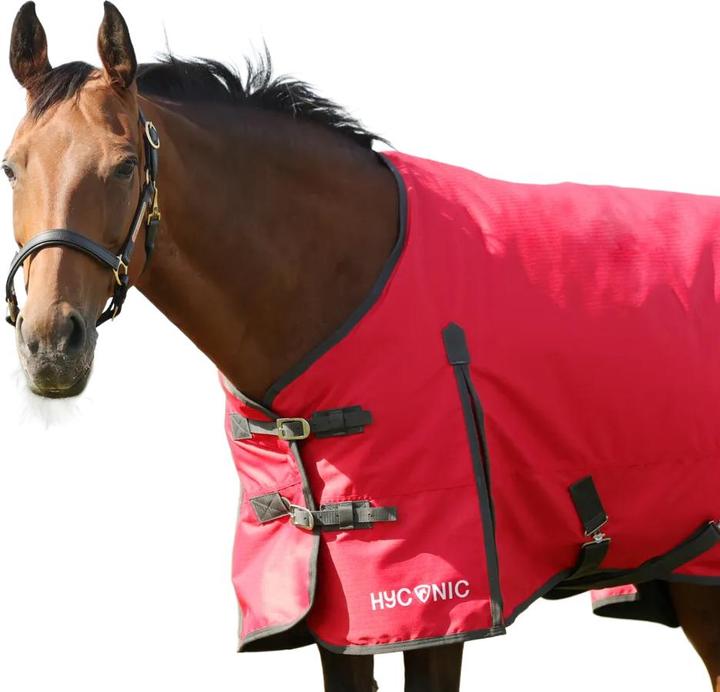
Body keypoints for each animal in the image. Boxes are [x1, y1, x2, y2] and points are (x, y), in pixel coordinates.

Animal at [5, 2, 720, 690]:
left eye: (125, 165)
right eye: (12, 166)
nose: (51, 344)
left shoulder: (435, 608)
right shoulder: (335, 616)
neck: (342, 282)